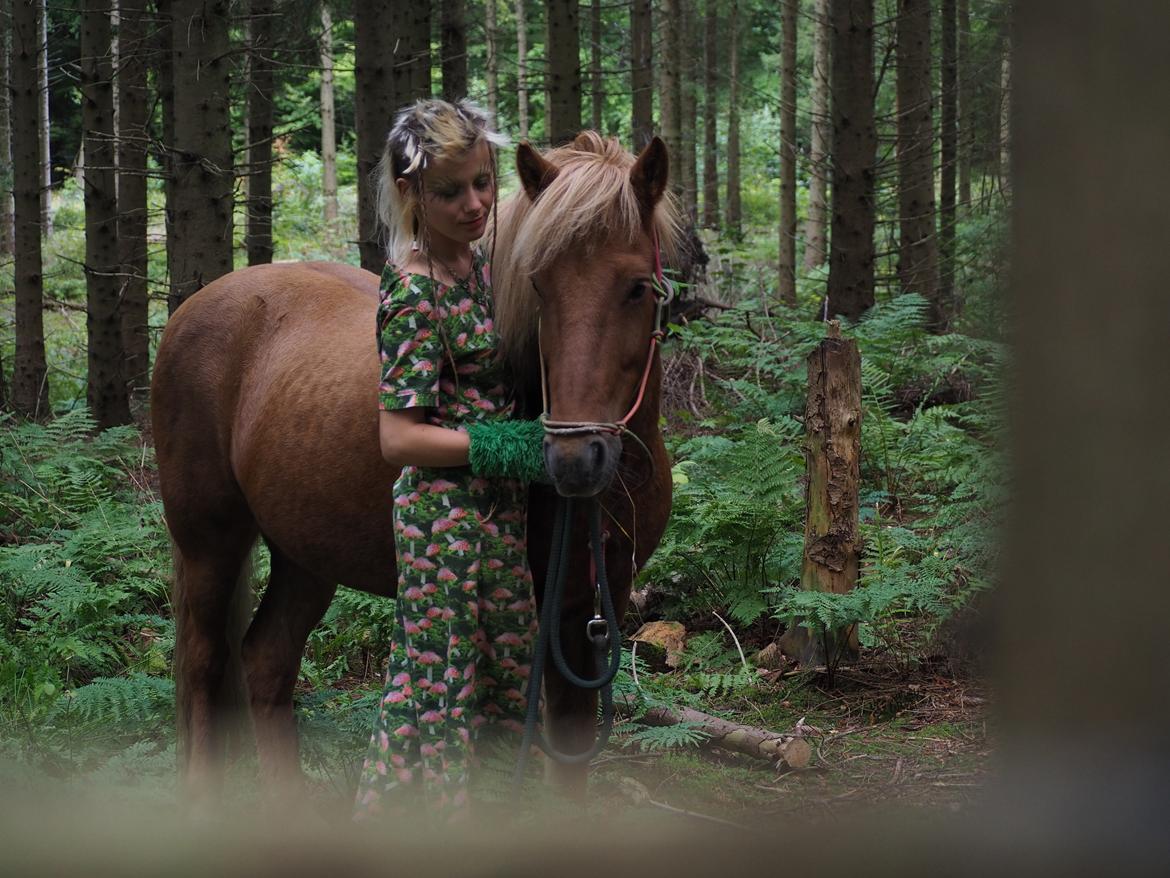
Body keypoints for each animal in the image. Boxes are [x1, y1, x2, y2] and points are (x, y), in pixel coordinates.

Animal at [154, 127, 683, 810]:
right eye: (538, 286)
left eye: (637, 287)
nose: (573, 459)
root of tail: (195, 307)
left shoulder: (595, 606)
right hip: (209, 544)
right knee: (202, 661)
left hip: (305, 553)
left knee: (265, 661)